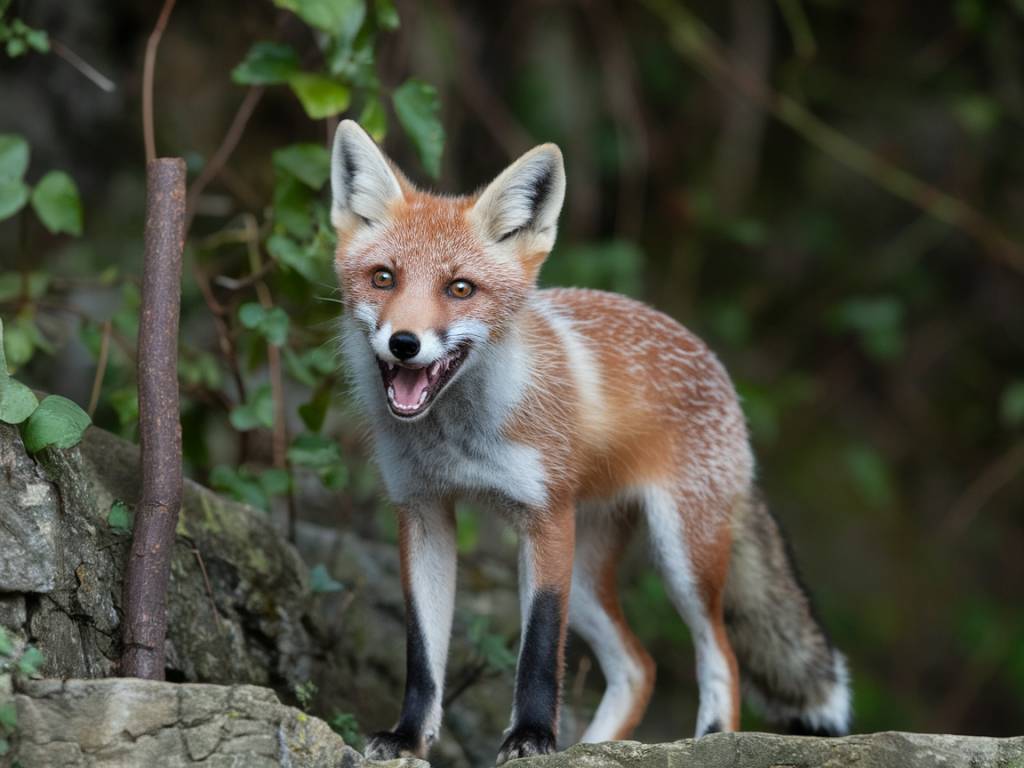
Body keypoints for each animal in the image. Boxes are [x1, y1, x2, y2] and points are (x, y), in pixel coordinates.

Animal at [331, 120, 851, 765]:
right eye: (384, 278)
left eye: (460, 289)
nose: (404, 343)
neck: (458, 438)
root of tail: (719, 370)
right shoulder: (422, 512)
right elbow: (423, 651)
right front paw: (407, 736)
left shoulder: (547, 517)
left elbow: (538, 649)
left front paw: (532, 738)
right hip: (589, 577)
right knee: (640, 666)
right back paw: (600, 745)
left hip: (681, 555)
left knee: (720, 652)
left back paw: (713, 738)